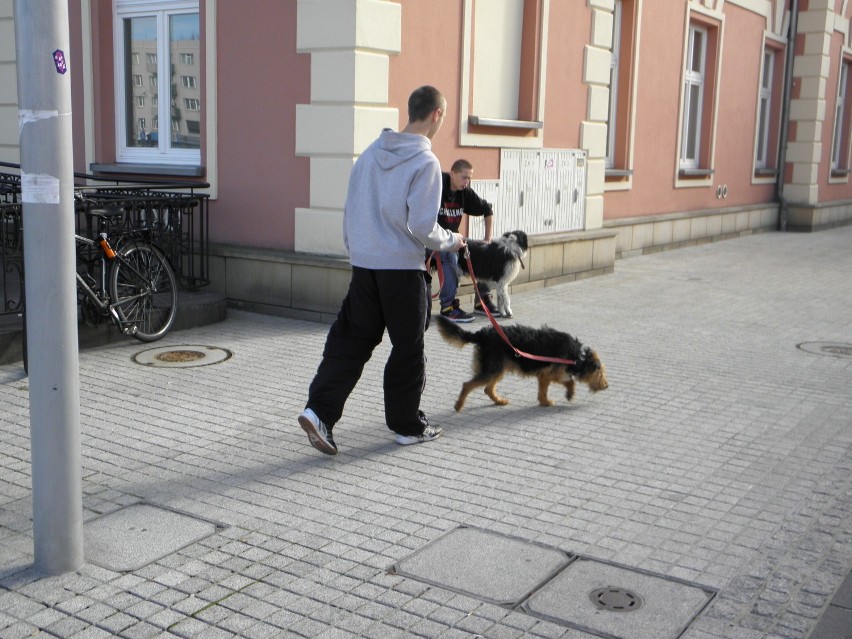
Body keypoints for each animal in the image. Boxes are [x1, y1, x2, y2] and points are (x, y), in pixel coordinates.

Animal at [440, 316, 604, 416]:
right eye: (600, 373)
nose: (606, 386)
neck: (578, 356)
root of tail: (481, 334)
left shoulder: (545, 375)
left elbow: (544, 390)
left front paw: (544, 402)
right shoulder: (550, 373)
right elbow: (569, 382)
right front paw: (566, 395)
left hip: (498, 368)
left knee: (488, 389)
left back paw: (499, 401)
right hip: (492, 369)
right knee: (467, 385)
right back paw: (458, 405)